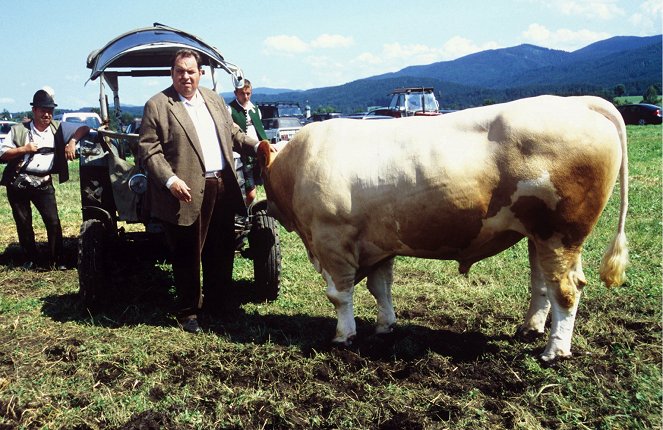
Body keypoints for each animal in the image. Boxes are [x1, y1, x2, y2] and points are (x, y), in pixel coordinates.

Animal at [258, 95, 628, 362]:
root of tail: (580, 102)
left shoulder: (331, 239)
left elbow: (339, 294)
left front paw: (343, 335)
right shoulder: (378, 243)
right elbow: (380, 288)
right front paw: (385, 326)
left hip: (559, 234)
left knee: (566, 289)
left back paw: (554, 351)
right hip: (538, 235)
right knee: (542, 286)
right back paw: (530, 329)